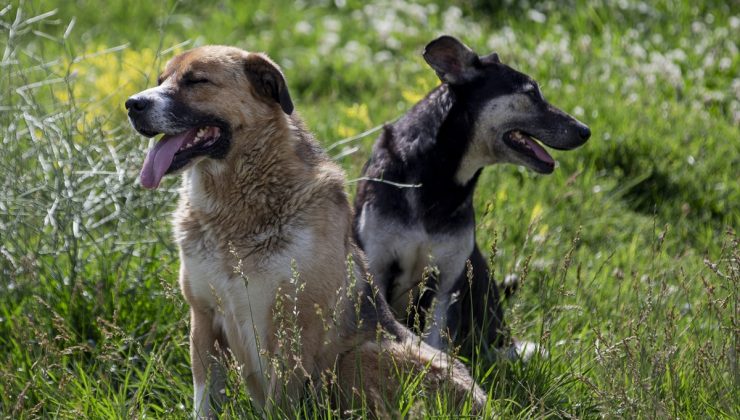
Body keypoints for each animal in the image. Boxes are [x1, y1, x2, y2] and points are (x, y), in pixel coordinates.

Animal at [125, 46, 486, 416]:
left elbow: (279, 403)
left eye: (197, 80)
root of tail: (483, 402)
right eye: (161, 80)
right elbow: (205, 402)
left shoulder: (293, 329)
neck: (236, 208)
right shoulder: (204, 317)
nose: (132, 104)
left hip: (359, 357)